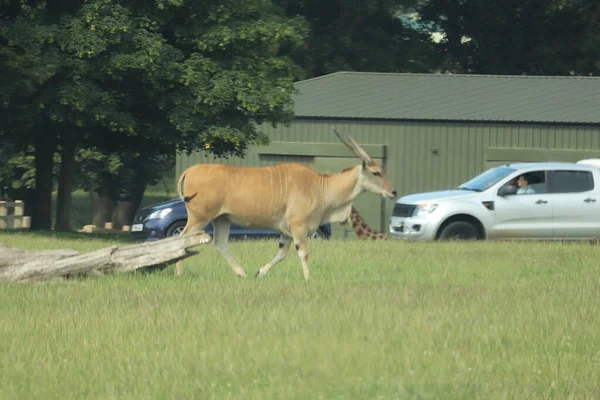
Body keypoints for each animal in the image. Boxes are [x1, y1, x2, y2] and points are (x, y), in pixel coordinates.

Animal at [175, 130, 398, 280]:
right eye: (376, 172)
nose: (393, 192)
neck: (320, 186)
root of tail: (191, 170)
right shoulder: (298, 226)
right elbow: (303, 252)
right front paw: (308, 278)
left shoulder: (286, 231)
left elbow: (282, 253)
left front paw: (259, 272)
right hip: (200, 217)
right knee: (182, 239)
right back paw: (178, 272)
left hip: (221, 219)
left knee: (220, 243)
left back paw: (241, 273)